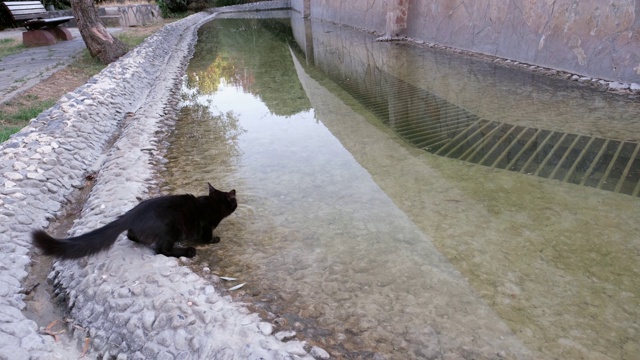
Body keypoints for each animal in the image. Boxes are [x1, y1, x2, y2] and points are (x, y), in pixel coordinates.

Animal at [33, 183, 238, 258]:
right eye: (234, 201)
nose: (237, 200)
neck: (211, 203)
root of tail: (131, 213)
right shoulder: (206, 227)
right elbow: (207, 238)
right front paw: (215, 239)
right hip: (170, 229)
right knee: (161, 250)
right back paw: (187, 251)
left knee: (132, 236)